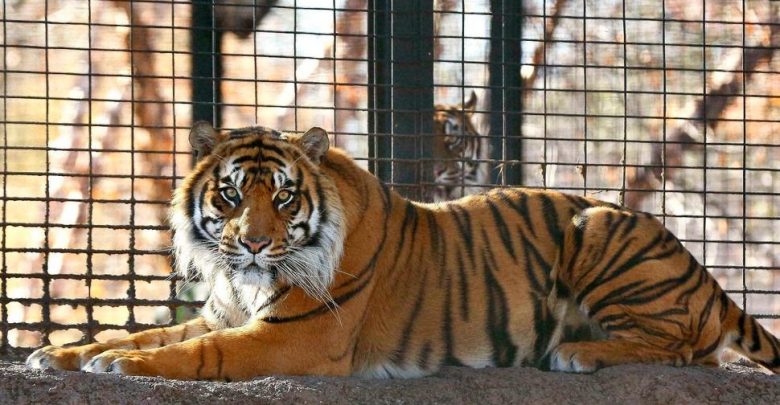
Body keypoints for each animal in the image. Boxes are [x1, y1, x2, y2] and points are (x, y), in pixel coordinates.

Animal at [27, 121, 780, 380]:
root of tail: (710, 282)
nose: (257, 243)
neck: (243, 281)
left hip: (597, 224)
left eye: (286, 198)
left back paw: (578, 352)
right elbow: (146, 330)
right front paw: (65, 353)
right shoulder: (224, 311)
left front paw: (120, 365)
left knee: (689, 347)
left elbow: (194, 353)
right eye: (234, 195)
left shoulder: (292, 337)